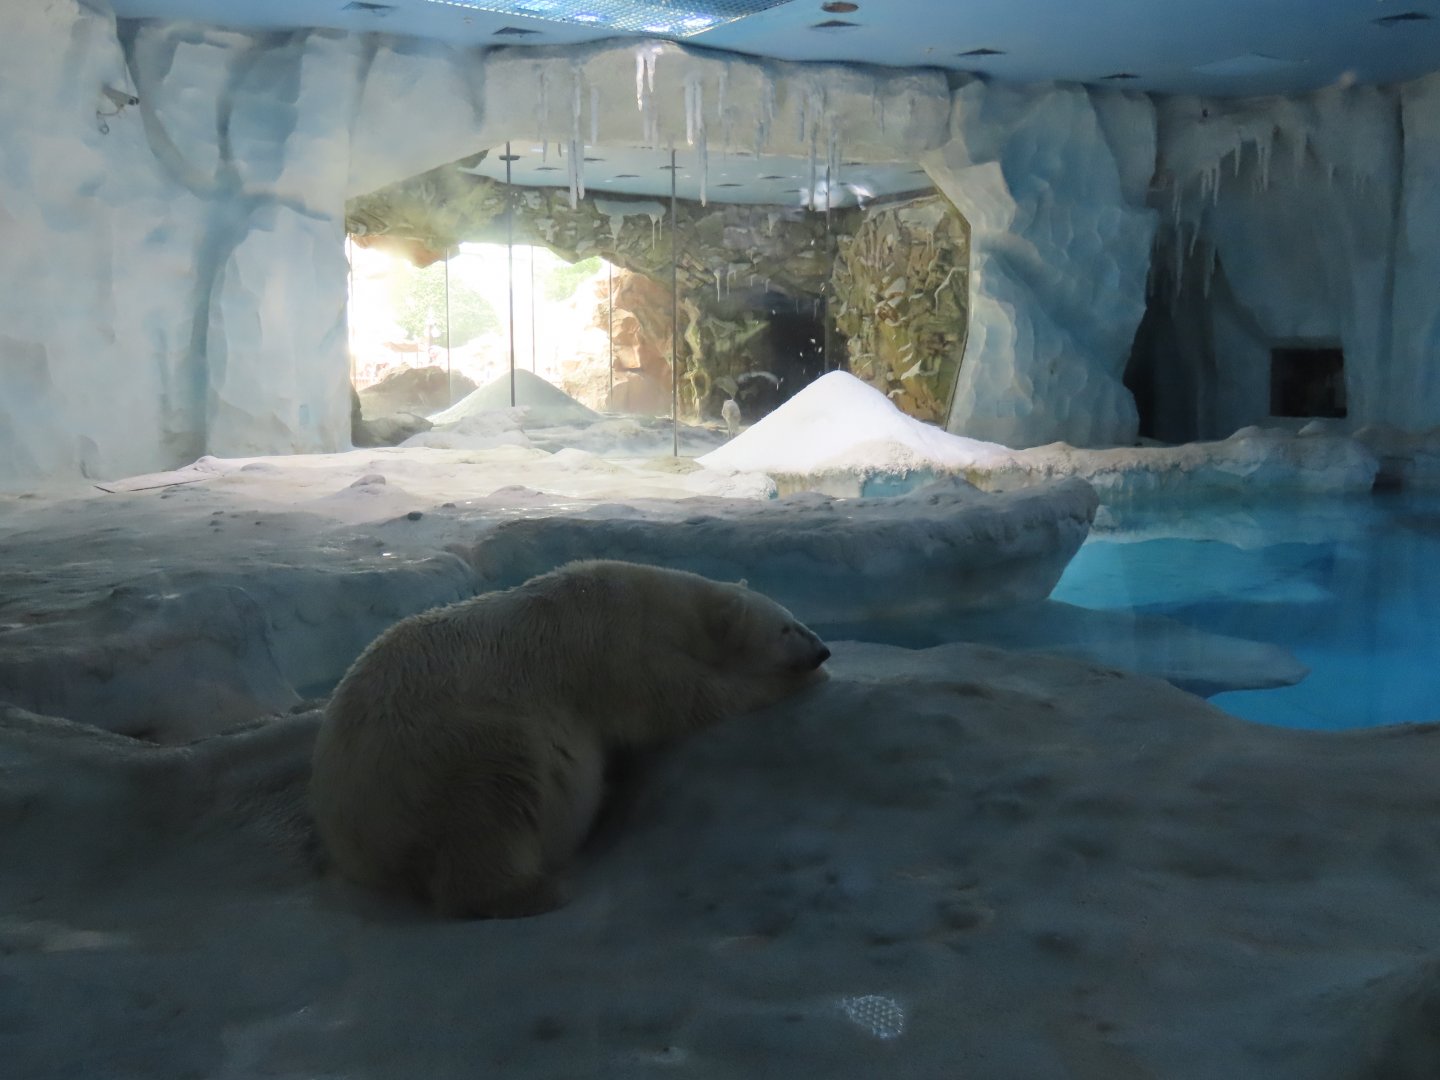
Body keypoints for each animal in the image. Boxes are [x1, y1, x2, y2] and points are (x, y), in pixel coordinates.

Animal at [308, 559, 830, 919]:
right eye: (787, 627)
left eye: (798, 619)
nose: (822, 650)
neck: (659, 600)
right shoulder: (618, 648)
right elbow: (685, 701)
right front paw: (791, 683)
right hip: (441, 750)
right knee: (495, 794)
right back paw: (534, 891)